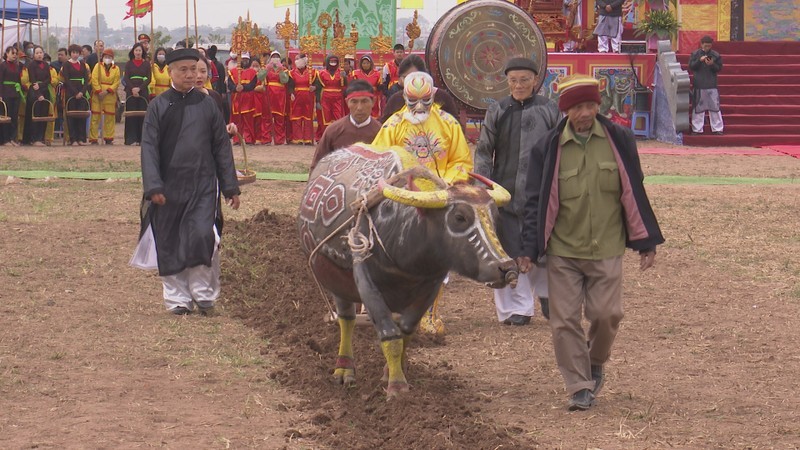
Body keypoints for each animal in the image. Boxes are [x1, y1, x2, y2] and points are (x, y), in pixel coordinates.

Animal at [300, 145, 520, 398]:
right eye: (459, 217)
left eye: (494, 216)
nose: (507, 268)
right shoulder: (365, 279)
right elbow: (390, 334)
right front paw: (397, 387)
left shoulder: (431, 284)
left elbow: (406, 330)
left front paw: (392, 372)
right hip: (337, 284)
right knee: (346, 319)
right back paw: (344, 370)